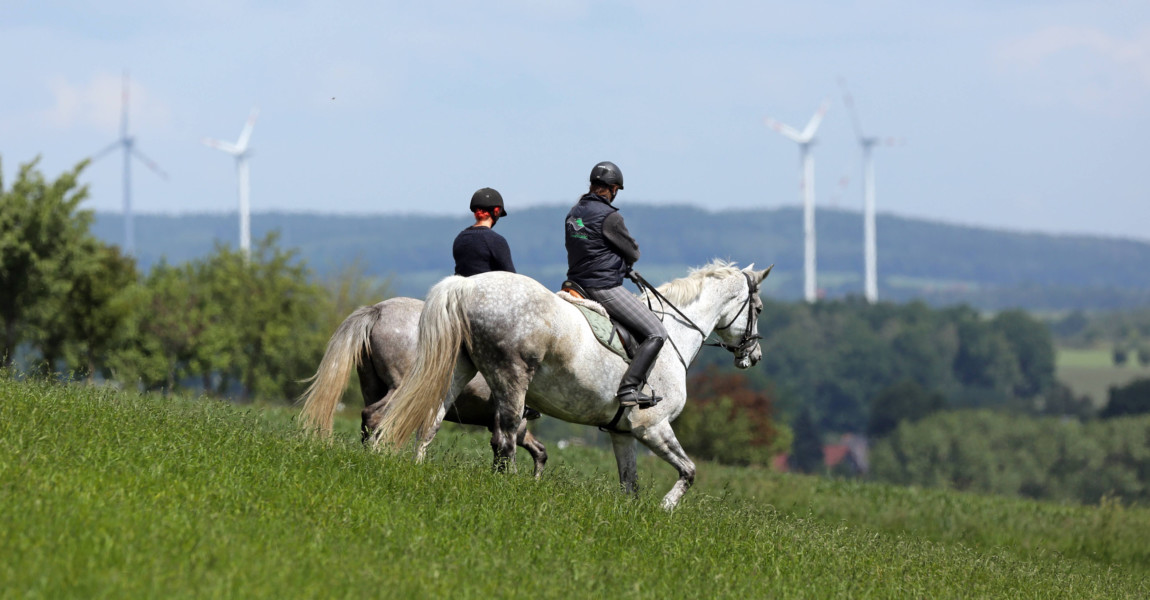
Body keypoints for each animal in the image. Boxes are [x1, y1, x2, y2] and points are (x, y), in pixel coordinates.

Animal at [296, 296, 547, 473]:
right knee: (376, 416)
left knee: (370, 419)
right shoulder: (510, 419)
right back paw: (378, 455)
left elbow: (538, 451)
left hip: (371, 385)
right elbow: (503, 447)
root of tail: (379, 310)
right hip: (401, 387)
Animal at [377, 258, 772, 505]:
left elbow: (630, 485)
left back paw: (419, 467)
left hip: (461, 367)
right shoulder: (652, 427)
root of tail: (465, 287)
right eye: (759, 310)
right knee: (504, 438)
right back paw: (509, 487)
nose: (754, 357)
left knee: (432, 419)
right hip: (511, 377)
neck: (675, 333)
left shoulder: (622, 433)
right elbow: (689, 471)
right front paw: (666, 508)